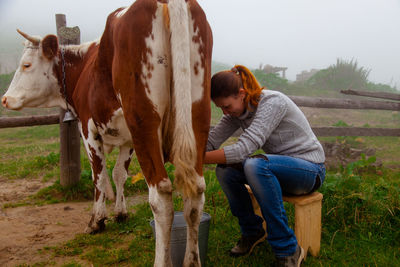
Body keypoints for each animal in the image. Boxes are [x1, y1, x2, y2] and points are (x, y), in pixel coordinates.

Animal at [1, 1, 212, 266]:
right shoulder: (128, 139)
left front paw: (97, 220)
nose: (5, 99)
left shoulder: (88, 128)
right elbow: (119, 173)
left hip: (144, 121)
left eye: (26, 65)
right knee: (196, 194)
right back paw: (192, 260)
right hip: (196, 116)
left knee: (161, 196)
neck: (84, 67)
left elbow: (99, 176)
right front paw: (120, 212)